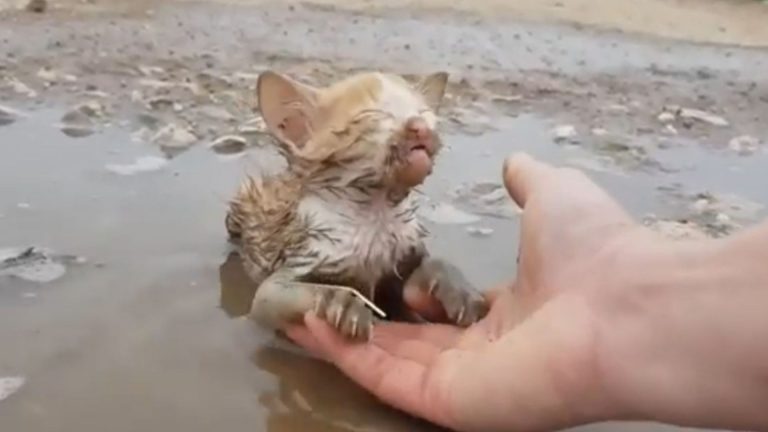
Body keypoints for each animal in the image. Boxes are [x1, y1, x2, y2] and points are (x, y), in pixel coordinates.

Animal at [225, 70, 488, 340]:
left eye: (424, 113)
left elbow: (430, 268)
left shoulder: (402, 260)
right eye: (375, 116)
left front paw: (459, 289)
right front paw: (342, 301)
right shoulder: (291, 270)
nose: (421, 127)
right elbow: (273, 296)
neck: (375, 211)